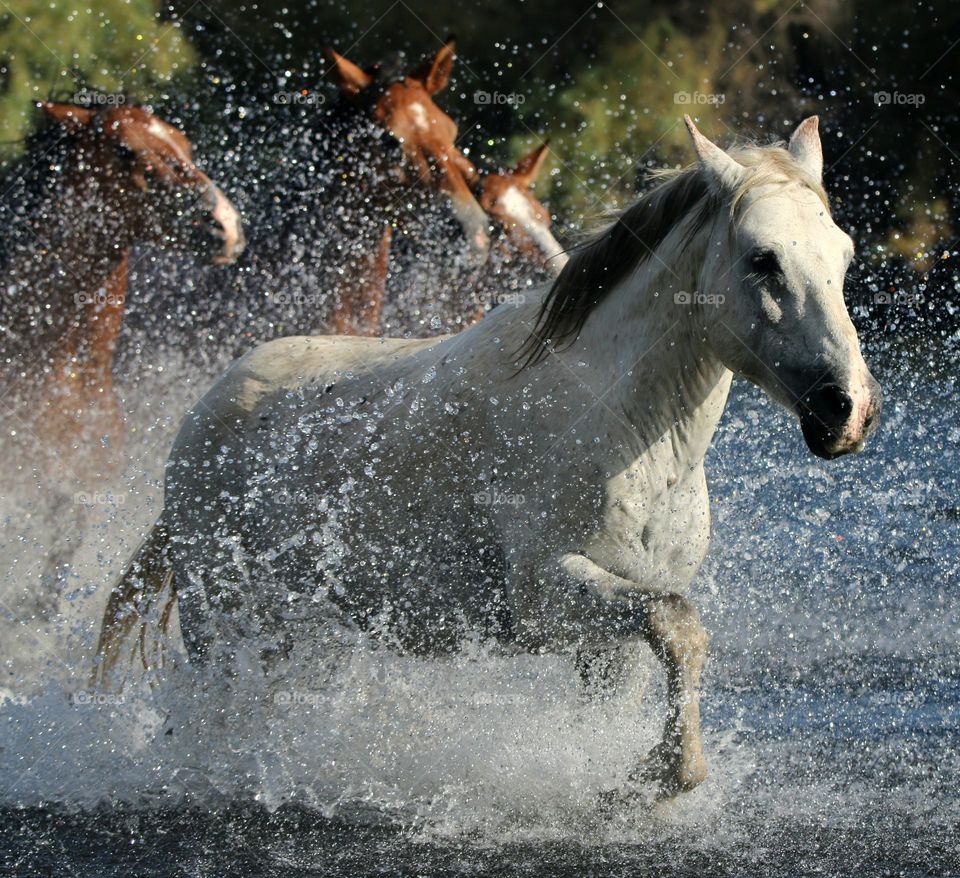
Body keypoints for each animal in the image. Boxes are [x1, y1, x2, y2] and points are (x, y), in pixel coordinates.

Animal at [93, 116, 881, 798]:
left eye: (842, 255)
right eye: (762, 259)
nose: (847, 408)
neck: (626, 428)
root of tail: (203, 415)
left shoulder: (616, 635)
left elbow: (662, 650)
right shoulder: (546, 594)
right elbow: (679, 625)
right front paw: (668, 776)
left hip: (301, 629)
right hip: (224, 621)